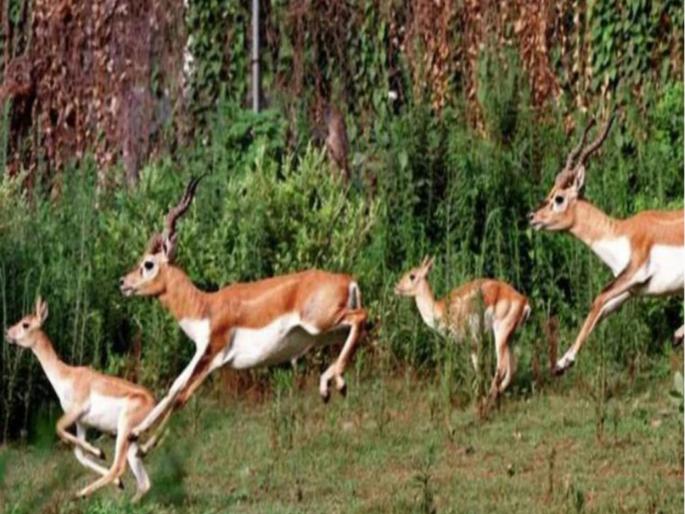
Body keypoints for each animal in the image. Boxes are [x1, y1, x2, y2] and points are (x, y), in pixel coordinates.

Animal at [5, 298, 154, 502]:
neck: (66, 375)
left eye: (25, 324)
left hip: (124, 430)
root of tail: (153, 402)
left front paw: (100, 452)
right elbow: (79, 454)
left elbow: (59, 428)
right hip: (132, 440)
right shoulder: (81, 422)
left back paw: (81, 493)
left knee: (118, 467)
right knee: (144, 482)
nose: (7, 333)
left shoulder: (76, 411)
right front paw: (109, 468)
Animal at [119, 177, 367, 452]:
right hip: (326, 332)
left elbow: (182, 396)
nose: (123, 283)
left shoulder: (213, 355)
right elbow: (173, 388)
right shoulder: (200, 352)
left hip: (320, 324)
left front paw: (145, 444)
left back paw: (336, 385)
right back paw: (330, 386)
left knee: (361, 316)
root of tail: (347, 280)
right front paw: (135, 432)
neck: (205, 306)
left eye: (148, 264)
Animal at [394, 257, 531, 399]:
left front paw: (476, 394)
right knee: (513, 365)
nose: (396, 287)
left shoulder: (472, 339)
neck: (440, 309)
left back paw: (490, 396)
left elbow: (478, 366)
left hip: (501, 331)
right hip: (510, 336)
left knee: (502, 365)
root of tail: (524, 303)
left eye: (412, 275)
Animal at [528, 113, 684, 375]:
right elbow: (602, 310)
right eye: (551, 192)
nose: (532, 217)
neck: (621, 234)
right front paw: (561, 363)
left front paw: (565, 361)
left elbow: (598, 299)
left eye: (559, 198)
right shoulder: (631, 289)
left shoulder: (634, 273)